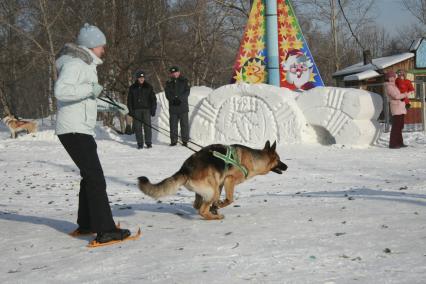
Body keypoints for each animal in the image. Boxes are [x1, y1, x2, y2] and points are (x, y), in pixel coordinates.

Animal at [138, 141, 288, 221]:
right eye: (279, 160)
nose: (287, 166)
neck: (254, 158)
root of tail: (185, 169)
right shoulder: (229, 180)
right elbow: (229, 199)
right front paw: (220, 205)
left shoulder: (221, 183)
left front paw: (216, 206)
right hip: (212, 191)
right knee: (201, 210)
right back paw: (215, 216)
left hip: (210, 188)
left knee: (197, 205)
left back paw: (212, 211)